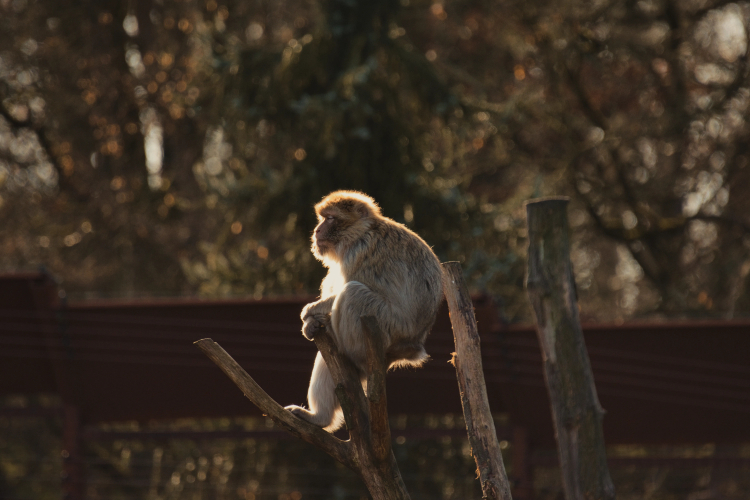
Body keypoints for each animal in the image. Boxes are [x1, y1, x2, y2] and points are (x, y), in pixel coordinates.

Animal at [284, 191, 443, 432]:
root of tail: (411, 346)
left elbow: (352, 286)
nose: (317, 230)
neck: (361, 232)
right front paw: (312, 321)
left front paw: (310, 310)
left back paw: (350, 352)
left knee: (353, 292)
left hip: (386, 327)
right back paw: (319, 418)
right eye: (322, 218)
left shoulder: (361, 250)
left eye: (330, 218)